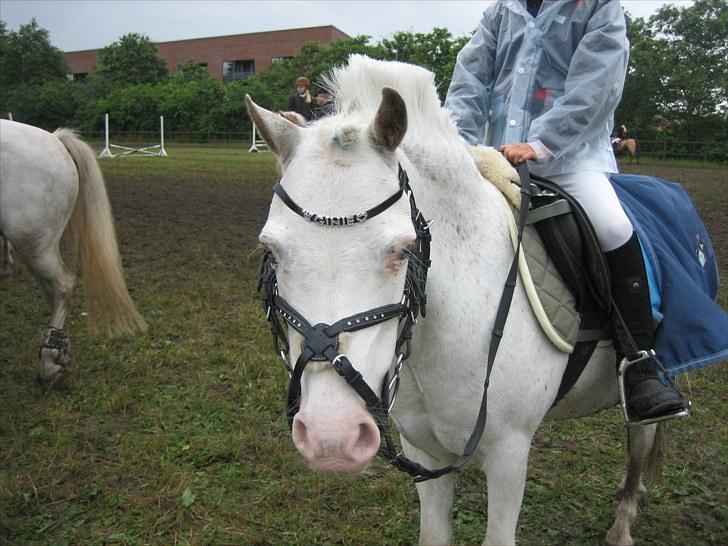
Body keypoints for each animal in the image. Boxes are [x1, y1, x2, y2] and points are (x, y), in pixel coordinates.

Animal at [0, 120, 147, 383]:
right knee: (53, 291)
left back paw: (50, 360)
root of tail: (56, 140)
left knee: (63, 286)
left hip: (32, 241)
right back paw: (59, 352)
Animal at [248, 55, 665, 545]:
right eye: (271, 251)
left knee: (640, 443)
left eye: (403, 250)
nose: (332, 438)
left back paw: (622, 524)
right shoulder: (424, 452)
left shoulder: (509, 455)